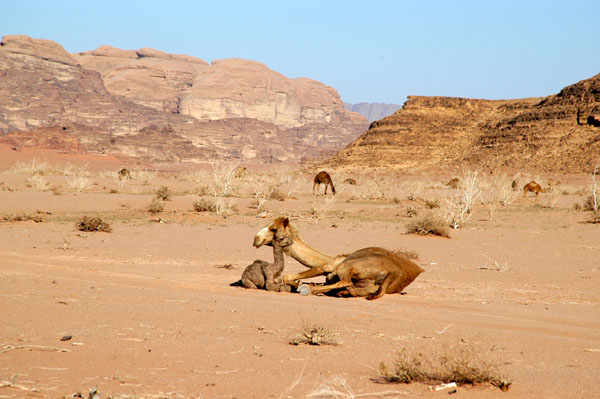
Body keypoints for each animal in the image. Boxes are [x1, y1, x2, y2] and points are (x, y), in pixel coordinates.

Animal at [251, 219, 424, 300]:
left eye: (273, 228)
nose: (256, 239)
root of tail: (393, 273)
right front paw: (302, 284)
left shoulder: (329, 267)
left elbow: (291, 276)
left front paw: (299, 284)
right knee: (349, 289)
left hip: (348, 268)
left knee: (346, 282)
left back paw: (311, 290)